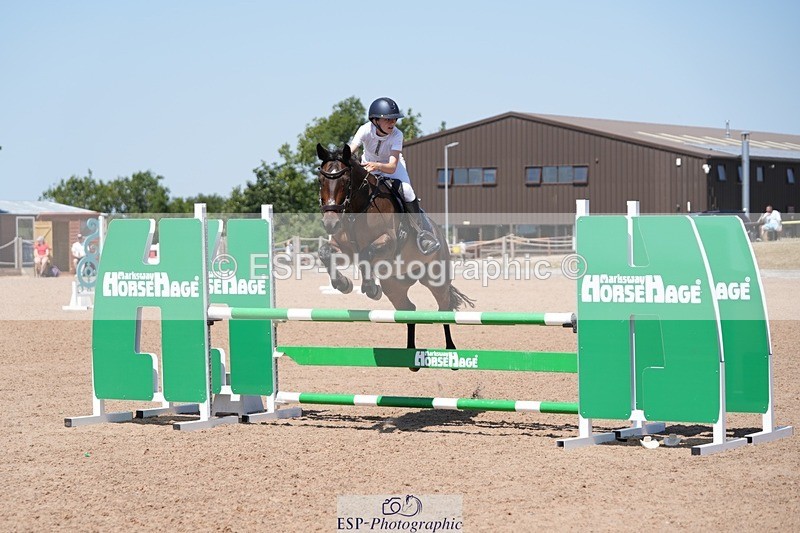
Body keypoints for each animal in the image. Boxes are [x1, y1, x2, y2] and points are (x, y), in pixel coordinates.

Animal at [316, 143, 474, 350]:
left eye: (345, 181)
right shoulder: (344, 249)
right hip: (394, 285)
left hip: (436, 279)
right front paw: (344, 284)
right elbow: (325, 253)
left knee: (444, 308)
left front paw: (370, 288)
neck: (359, 209)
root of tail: (439, 235)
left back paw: (450, 348)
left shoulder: (388, 242)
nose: (330, 223)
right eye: (321, 181)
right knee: (408, 309)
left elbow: (366, 253)